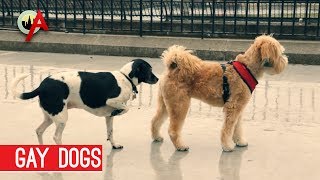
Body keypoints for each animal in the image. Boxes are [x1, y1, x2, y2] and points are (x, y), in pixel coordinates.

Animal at [11, 59, 159, 149]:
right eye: (149, 69)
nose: (157, 79)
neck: (125, 77)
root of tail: (41, 86)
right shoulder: (112, 101)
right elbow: (126, 108)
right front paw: (119, 111)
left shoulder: (108, 117)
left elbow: (110, 132)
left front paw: (114, 145)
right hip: (61, 118)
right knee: (56, 137)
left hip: (50, 116)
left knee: (39, 131)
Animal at [151, 34, 288, 151]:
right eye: (279, 53)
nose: (285, 61)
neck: (247, 67)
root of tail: (172, 67)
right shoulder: (233, 107)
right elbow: (227, 129)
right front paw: (227, 146)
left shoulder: (239, 108)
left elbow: (237, 127)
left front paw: (239, 141)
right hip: (179, 105)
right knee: (173, 130)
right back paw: (180, 146)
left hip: (166, 104)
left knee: (155, 120)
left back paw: (156, 136)